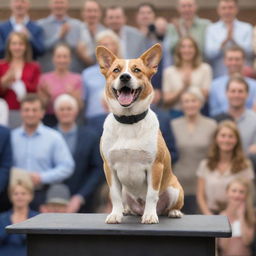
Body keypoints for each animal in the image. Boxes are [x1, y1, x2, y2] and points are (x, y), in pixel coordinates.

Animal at [96, 43, 184, 223]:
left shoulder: (155, 167)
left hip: (174, 189)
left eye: (137, 70)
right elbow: (114, 195)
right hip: (126, 191)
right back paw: (127, 210)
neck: (129, 121)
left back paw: (173, 212)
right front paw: (115, 215)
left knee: (170, 205)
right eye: (116, 70)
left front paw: (150, 216)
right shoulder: (109, 167)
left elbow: (151, 195)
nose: (125, 77)